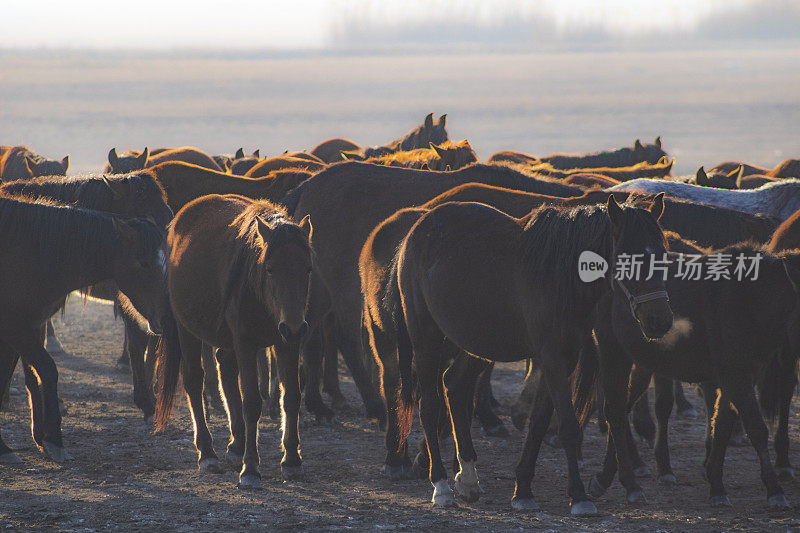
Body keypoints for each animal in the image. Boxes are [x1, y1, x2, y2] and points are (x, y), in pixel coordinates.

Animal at [0, 194, 173, 462]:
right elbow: (46, 370)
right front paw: (52, 441)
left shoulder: (26, 327)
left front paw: (39, 440)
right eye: (143, 263)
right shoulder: (15, 327)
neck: (28, 252)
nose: (167, 318)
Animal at [154, 194, 312, 486]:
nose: (295, 327)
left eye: (307, 269)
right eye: (270, 269)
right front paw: (250, 468)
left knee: (225, 372)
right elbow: (251, 402)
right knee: (194, 381)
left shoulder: (287, 343)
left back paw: (236, 444)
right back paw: (207, 453)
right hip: (186, 329)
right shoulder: (246, 344)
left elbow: (292, 396)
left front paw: (292, 460)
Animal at [390, 195, 672, 512]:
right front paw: (579, 496)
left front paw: (523, 489)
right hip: (426, 338)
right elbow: (568, 426)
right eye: (627, 257)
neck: (560, 277)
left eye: (662, 254)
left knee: (455, 385)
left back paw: (468, 478)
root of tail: (415, 231)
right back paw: (441, 486)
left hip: (479, 341)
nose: (660, 320)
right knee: (428, 405)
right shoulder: (551, 357)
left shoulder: (565, 358)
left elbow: (538, 423)